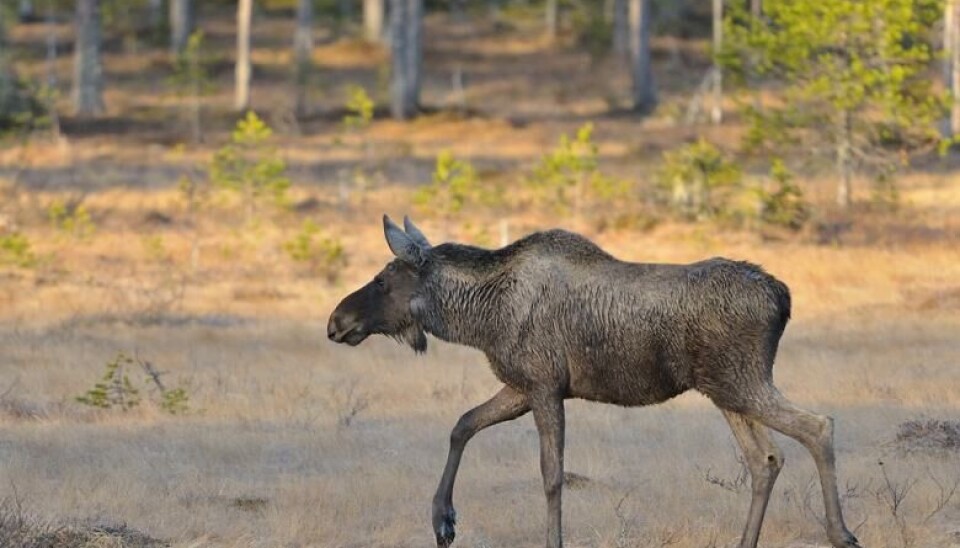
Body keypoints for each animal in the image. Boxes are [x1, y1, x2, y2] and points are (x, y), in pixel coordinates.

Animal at [330, 216, 864, 548]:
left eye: (382, 279)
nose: (336, 321)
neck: (480, 318)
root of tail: (784, 296)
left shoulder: (544, 385)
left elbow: (551, 475)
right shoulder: (522, 386)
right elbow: (461, 425)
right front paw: (443, 520)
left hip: (742, 382)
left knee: (818, 426)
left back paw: (842, 533)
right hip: (726, 391)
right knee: (765, 459)